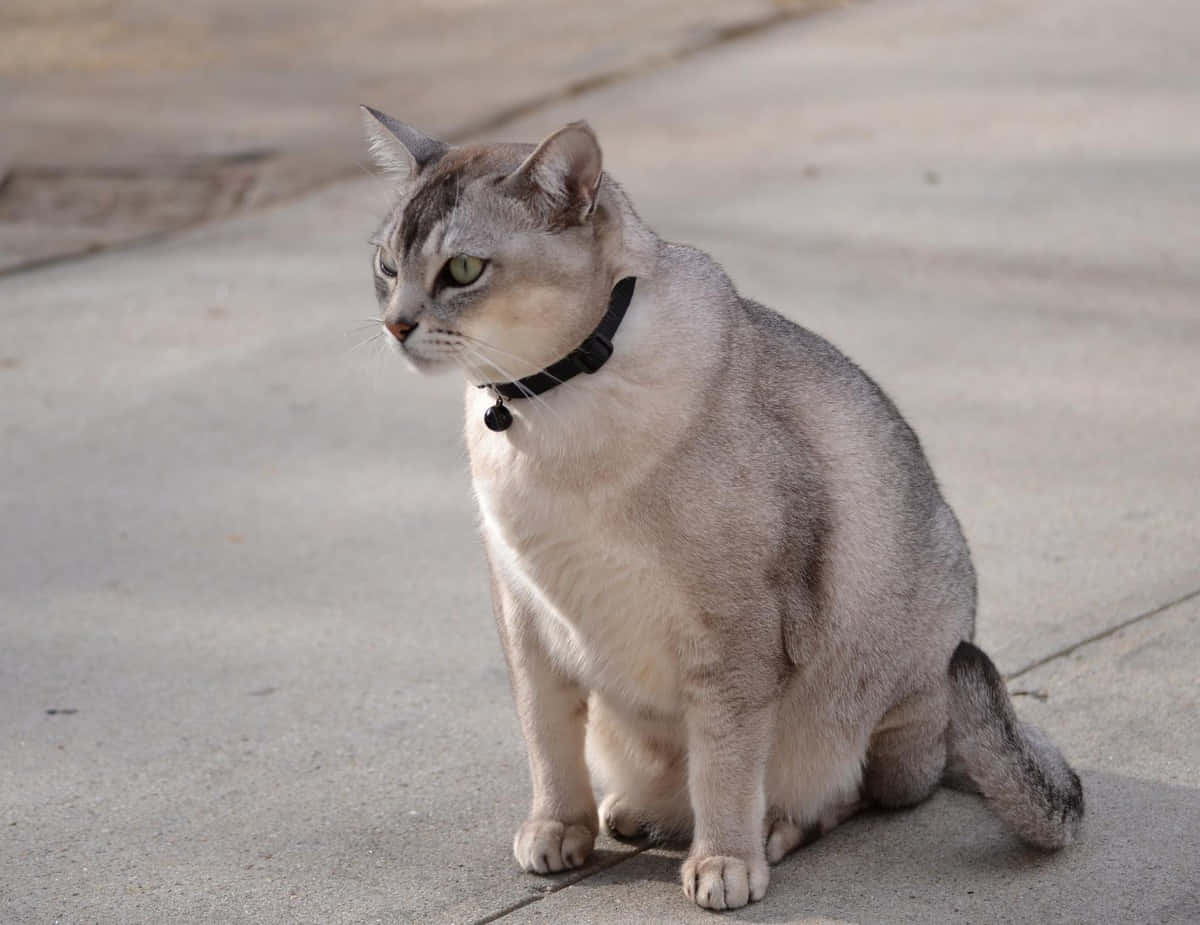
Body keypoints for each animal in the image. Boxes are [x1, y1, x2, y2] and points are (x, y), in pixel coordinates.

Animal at [360, 106, 1084, 911]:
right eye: (387, 267)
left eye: (462, 270)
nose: (396, 325)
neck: (549, 410)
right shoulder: (523, 612)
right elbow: (547, 738)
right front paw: (556, 827)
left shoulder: (734, 630)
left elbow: (724, 762)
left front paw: (724, 861)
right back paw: (637, 812)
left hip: (899, 683)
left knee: (859, 792)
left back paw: (770, 829)